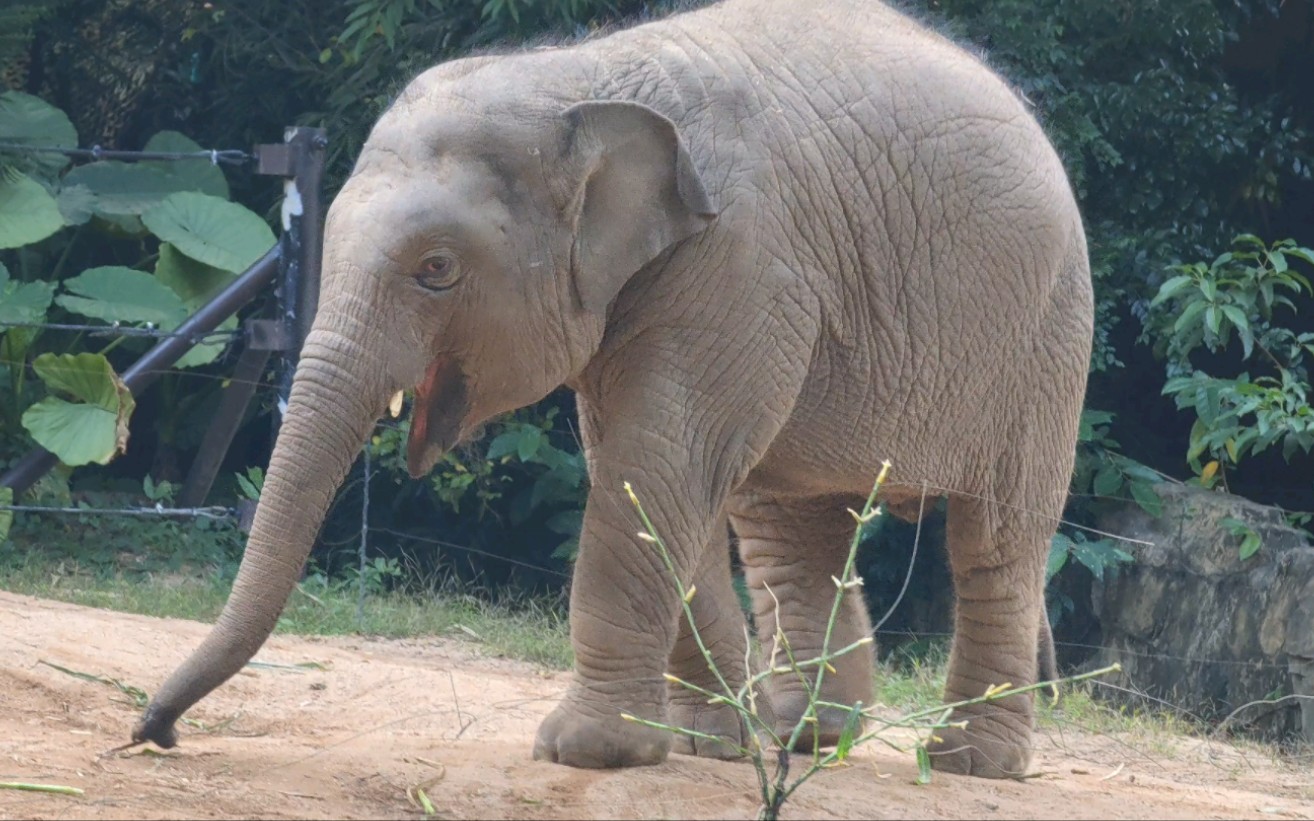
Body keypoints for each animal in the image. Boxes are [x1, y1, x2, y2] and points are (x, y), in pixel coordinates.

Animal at [132, 0, 1093, 779]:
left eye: (437, 268)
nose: (155, 732)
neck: (579, 79)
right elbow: (650, 474)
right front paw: (701, 743)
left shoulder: (739, 264)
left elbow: (659, 458)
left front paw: (586, 752)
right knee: (787, 521)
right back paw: (806, 735)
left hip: (1049, 340)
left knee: (995, 540)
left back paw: (966, 763)